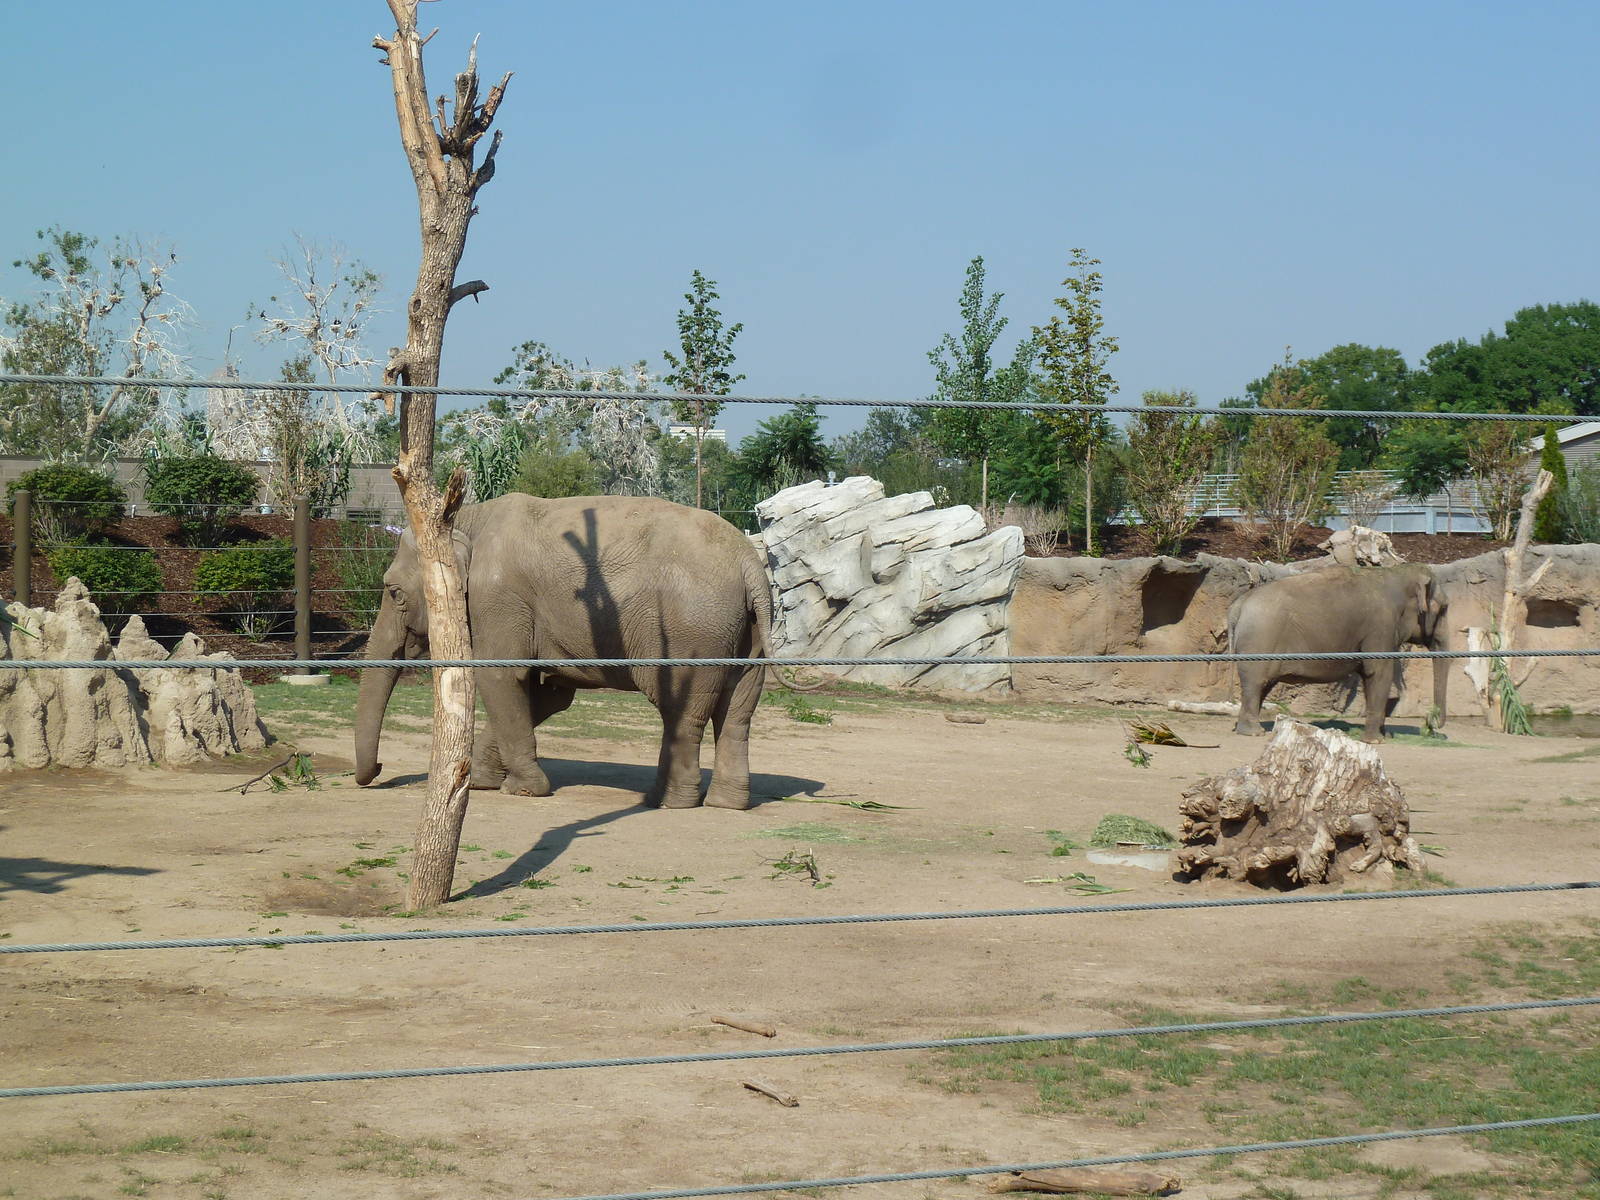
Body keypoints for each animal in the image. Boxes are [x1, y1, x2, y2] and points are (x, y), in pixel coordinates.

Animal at [353, 493, 779, 810]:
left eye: (394, 592)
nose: (378, 770)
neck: (469, 517)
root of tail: (749, 565)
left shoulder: (497, 599)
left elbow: (501, 678)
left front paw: (523, 790)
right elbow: (547, 696)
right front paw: (482, 783)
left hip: (691, 633)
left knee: (683, 713)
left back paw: (664, 801)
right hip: (746, 635)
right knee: (737, 713)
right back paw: (726, 803)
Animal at [1227, 562, 1449, 743]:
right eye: (1444, 608)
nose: (1431, 721)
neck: (1393, 573)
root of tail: (1238, 605)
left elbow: (1370, 677)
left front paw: (1384, 735)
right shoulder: (1381, 627)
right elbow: (1379, 673)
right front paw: (1376, 741)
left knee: (1262, 685)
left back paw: (1245, 730)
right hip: (1259, 640)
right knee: (1255, 683)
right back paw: (1254, 733)